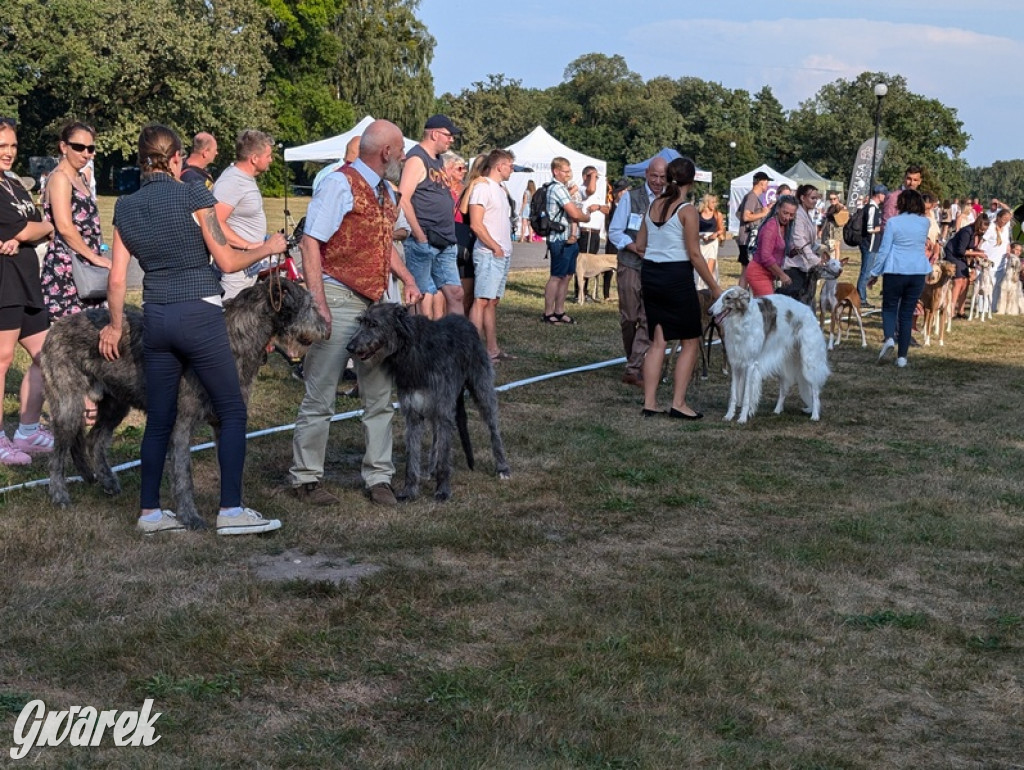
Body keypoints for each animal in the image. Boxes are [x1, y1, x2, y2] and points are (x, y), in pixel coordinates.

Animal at [40, 278, 323, 528]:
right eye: (310, 304)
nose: (325, 328)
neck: (235, 337)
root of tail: (56, 326)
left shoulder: (223, 422)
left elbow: (232, 466)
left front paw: (237, 509)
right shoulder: (181, 424)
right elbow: (183, 474)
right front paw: (190, 516)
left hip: (115, 403)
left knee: (94, 438)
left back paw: (107, 481)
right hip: (68, 405)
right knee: (57, 454)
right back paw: (59, 495)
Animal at [346, 303, 509, 501]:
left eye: (374, 324)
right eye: (361, 322)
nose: (350, 347)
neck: (414, 352)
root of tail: (465, 321)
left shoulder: (444, 410)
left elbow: (445, 456)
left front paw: (443, 490)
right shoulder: (413, 413)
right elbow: (412, 456)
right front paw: (409, 491)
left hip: (481, 387)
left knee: (493, 427)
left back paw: (502, 467)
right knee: (435, 436)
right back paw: (431, 469)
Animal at [712, 286, 831, 423]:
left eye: (728, 298)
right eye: (721, 296)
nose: (710, 312)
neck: (741, 321)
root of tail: (809, 311)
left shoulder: (750, 364)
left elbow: (747, 395)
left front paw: (742, 417)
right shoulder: (736, 364)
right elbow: (734, 394)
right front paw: (729, 415)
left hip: (809, 362)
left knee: (815, 390)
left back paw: (815, 415)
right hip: (784, 365)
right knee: (784, 390)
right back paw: (777, 410)